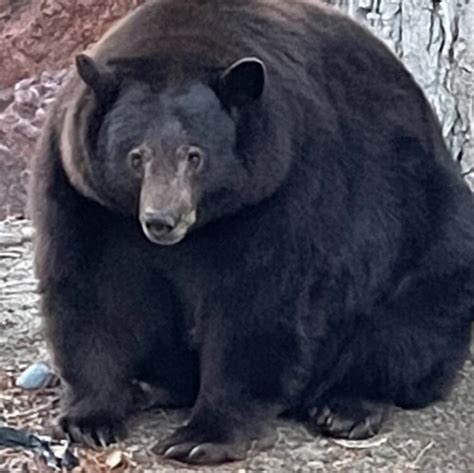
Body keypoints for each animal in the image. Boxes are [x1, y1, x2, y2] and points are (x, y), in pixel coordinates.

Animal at [30, 0, 474, 464]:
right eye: (137, 156)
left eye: (195, 155)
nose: (161, 220)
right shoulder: (84, 194)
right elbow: (93, 289)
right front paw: (91, 418)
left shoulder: (283, 185)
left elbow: (258, 302)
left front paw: (202, 436)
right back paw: (150, 385)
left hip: (428, 234)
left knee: (410, 325)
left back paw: (346, 406)